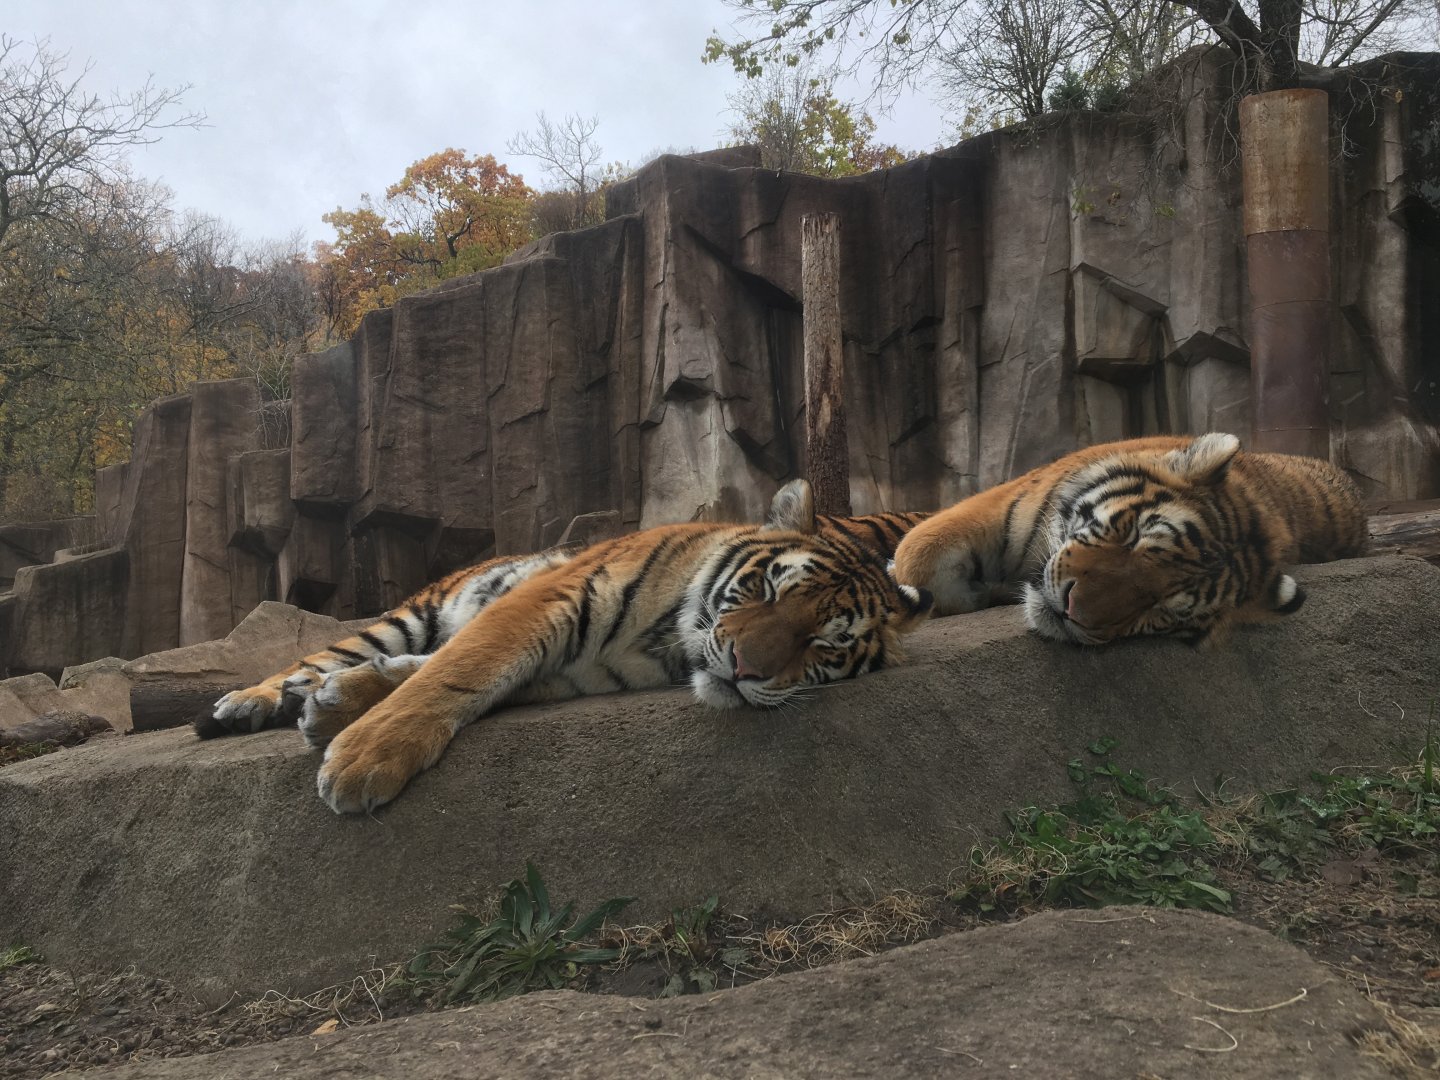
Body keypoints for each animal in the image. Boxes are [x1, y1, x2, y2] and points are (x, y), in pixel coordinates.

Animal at [204, 478, 933, 814]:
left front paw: (344, 715)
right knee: (322, 656)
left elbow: (456, 679)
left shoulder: (567, 672)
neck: (670, 640)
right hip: (412, 612)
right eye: (772, 591)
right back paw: (249, 702)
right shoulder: (546, 600)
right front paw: (363, 762)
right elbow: (454, 671)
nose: (745, 668)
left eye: (822, 645)